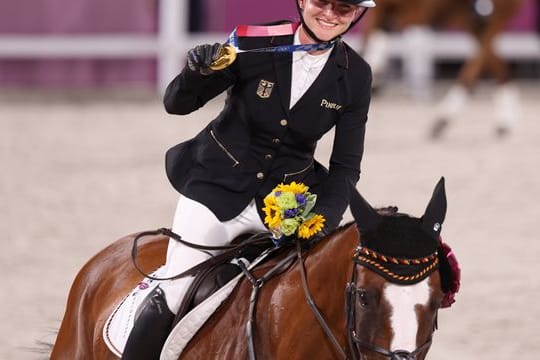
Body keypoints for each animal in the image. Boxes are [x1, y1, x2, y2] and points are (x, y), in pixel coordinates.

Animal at [362, 0, 524, 138]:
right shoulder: (382, 11)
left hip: (494, 17)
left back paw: (444, 118)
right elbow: (369, 45)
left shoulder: (415, 15)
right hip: (473, 22)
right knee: (498, 65)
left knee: (478, 64)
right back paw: (502, 122)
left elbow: (372, 53)